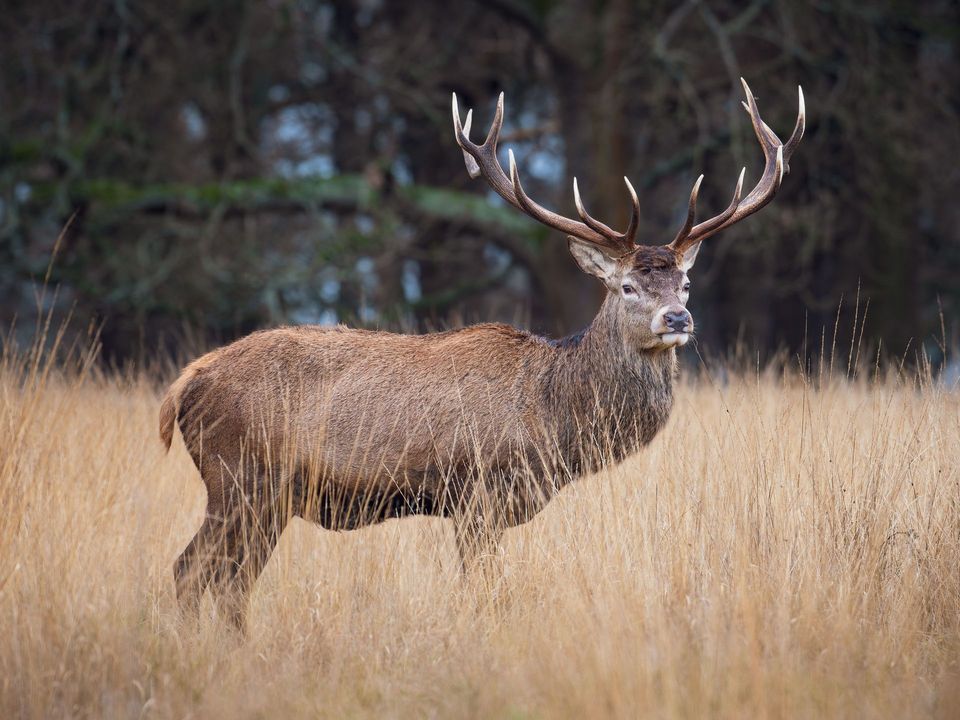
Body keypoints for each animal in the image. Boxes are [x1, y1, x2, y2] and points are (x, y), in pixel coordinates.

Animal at [160, 78, 804, 629]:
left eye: (685, 284)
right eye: (626, 286)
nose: (678, 319)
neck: (552, 417)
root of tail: (184, 386)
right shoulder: (479, 494)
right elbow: (485, 596)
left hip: (266, 496)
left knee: (229, 584)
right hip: (240, 477)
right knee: (190, 572)